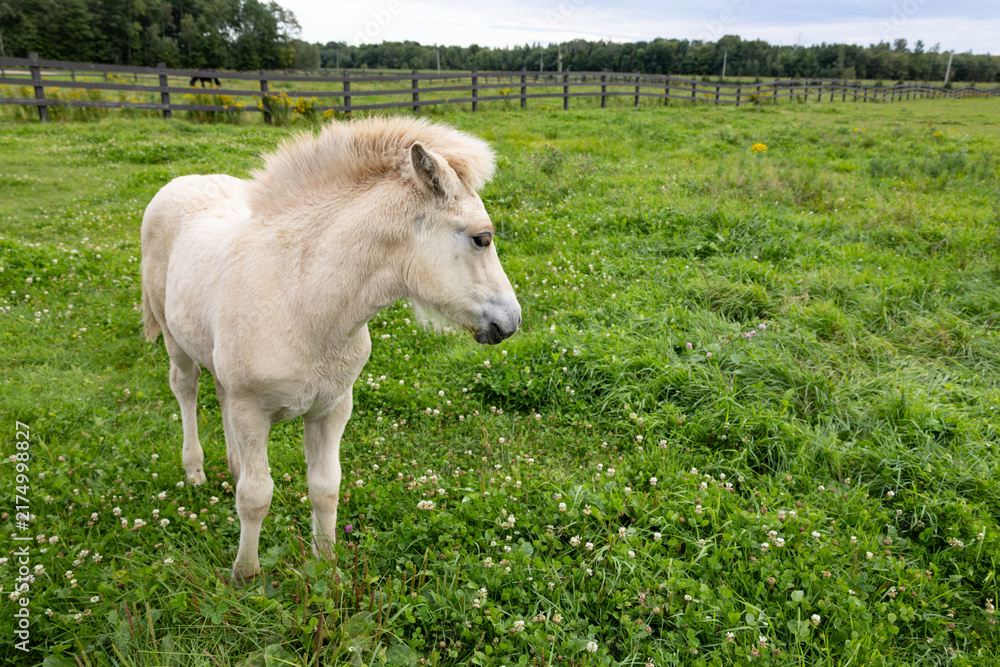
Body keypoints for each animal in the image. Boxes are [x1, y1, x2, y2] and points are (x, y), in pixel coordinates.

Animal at [140, 116, 521, 582]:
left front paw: (328, 568)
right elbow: (256, 496)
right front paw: (245, 576)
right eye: (482, 238)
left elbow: (324, 488)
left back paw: (232, 464)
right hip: (174, 340)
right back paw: (194, 471)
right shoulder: (252, 412)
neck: (301, 301)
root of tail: (181, 181)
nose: (511, 321)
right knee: (187, 388)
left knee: (219, 394)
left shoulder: (332, 408)